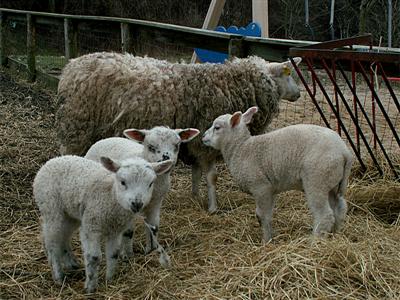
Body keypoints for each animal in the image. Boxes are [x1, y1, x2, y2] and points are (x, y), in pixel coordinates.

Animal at [32, 155, 172, 292]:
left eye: (150, 183)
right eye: (122, 182)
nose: (137, 204)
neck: (111, 196)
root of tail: (52, 161)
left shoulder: (115, 230)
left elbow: (113, 254)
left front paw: (109, 280)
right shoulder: (92, 225)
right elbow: (93, 257)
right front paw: (90, 287)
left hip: (71, 214)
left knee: (63, 237)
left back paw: (71, 264)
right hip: (51, 208)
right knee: (52, 243)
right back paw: (58, 276)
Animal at [56, 51, 304, 212]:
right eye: (286, 74)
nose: (299, 94)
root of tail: (70, 68)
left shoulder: (195, 142)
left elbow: (196, 171)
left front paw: (195, 196)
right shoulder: (205, 144)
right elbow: (211, 177)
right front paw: (213, 207)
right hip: (77, 126)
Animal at [84, 125, 200, 258]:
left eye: (177, 146)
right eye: (151, 147)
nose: (165, 158)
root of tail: (106, 139)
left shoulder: (156, 203)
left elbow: (154, 227)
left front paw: (152, 249)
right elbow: (128, 231)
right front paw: (127, 255)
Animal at [203, 106, 354, 240]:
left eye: (217, 127)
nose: (203, 137)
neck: (241, 148)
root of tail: (344, 152)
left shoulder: (261, 187)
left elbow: (262, 216)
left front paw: (266, 241)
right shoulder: (270, 190)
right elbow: (267, 215)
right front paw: (270, 237)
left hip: (317, 180)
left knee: (324, 215)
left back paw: (314, 242)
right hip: (332, 183)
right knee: (339, 209)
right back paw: (334, 235)